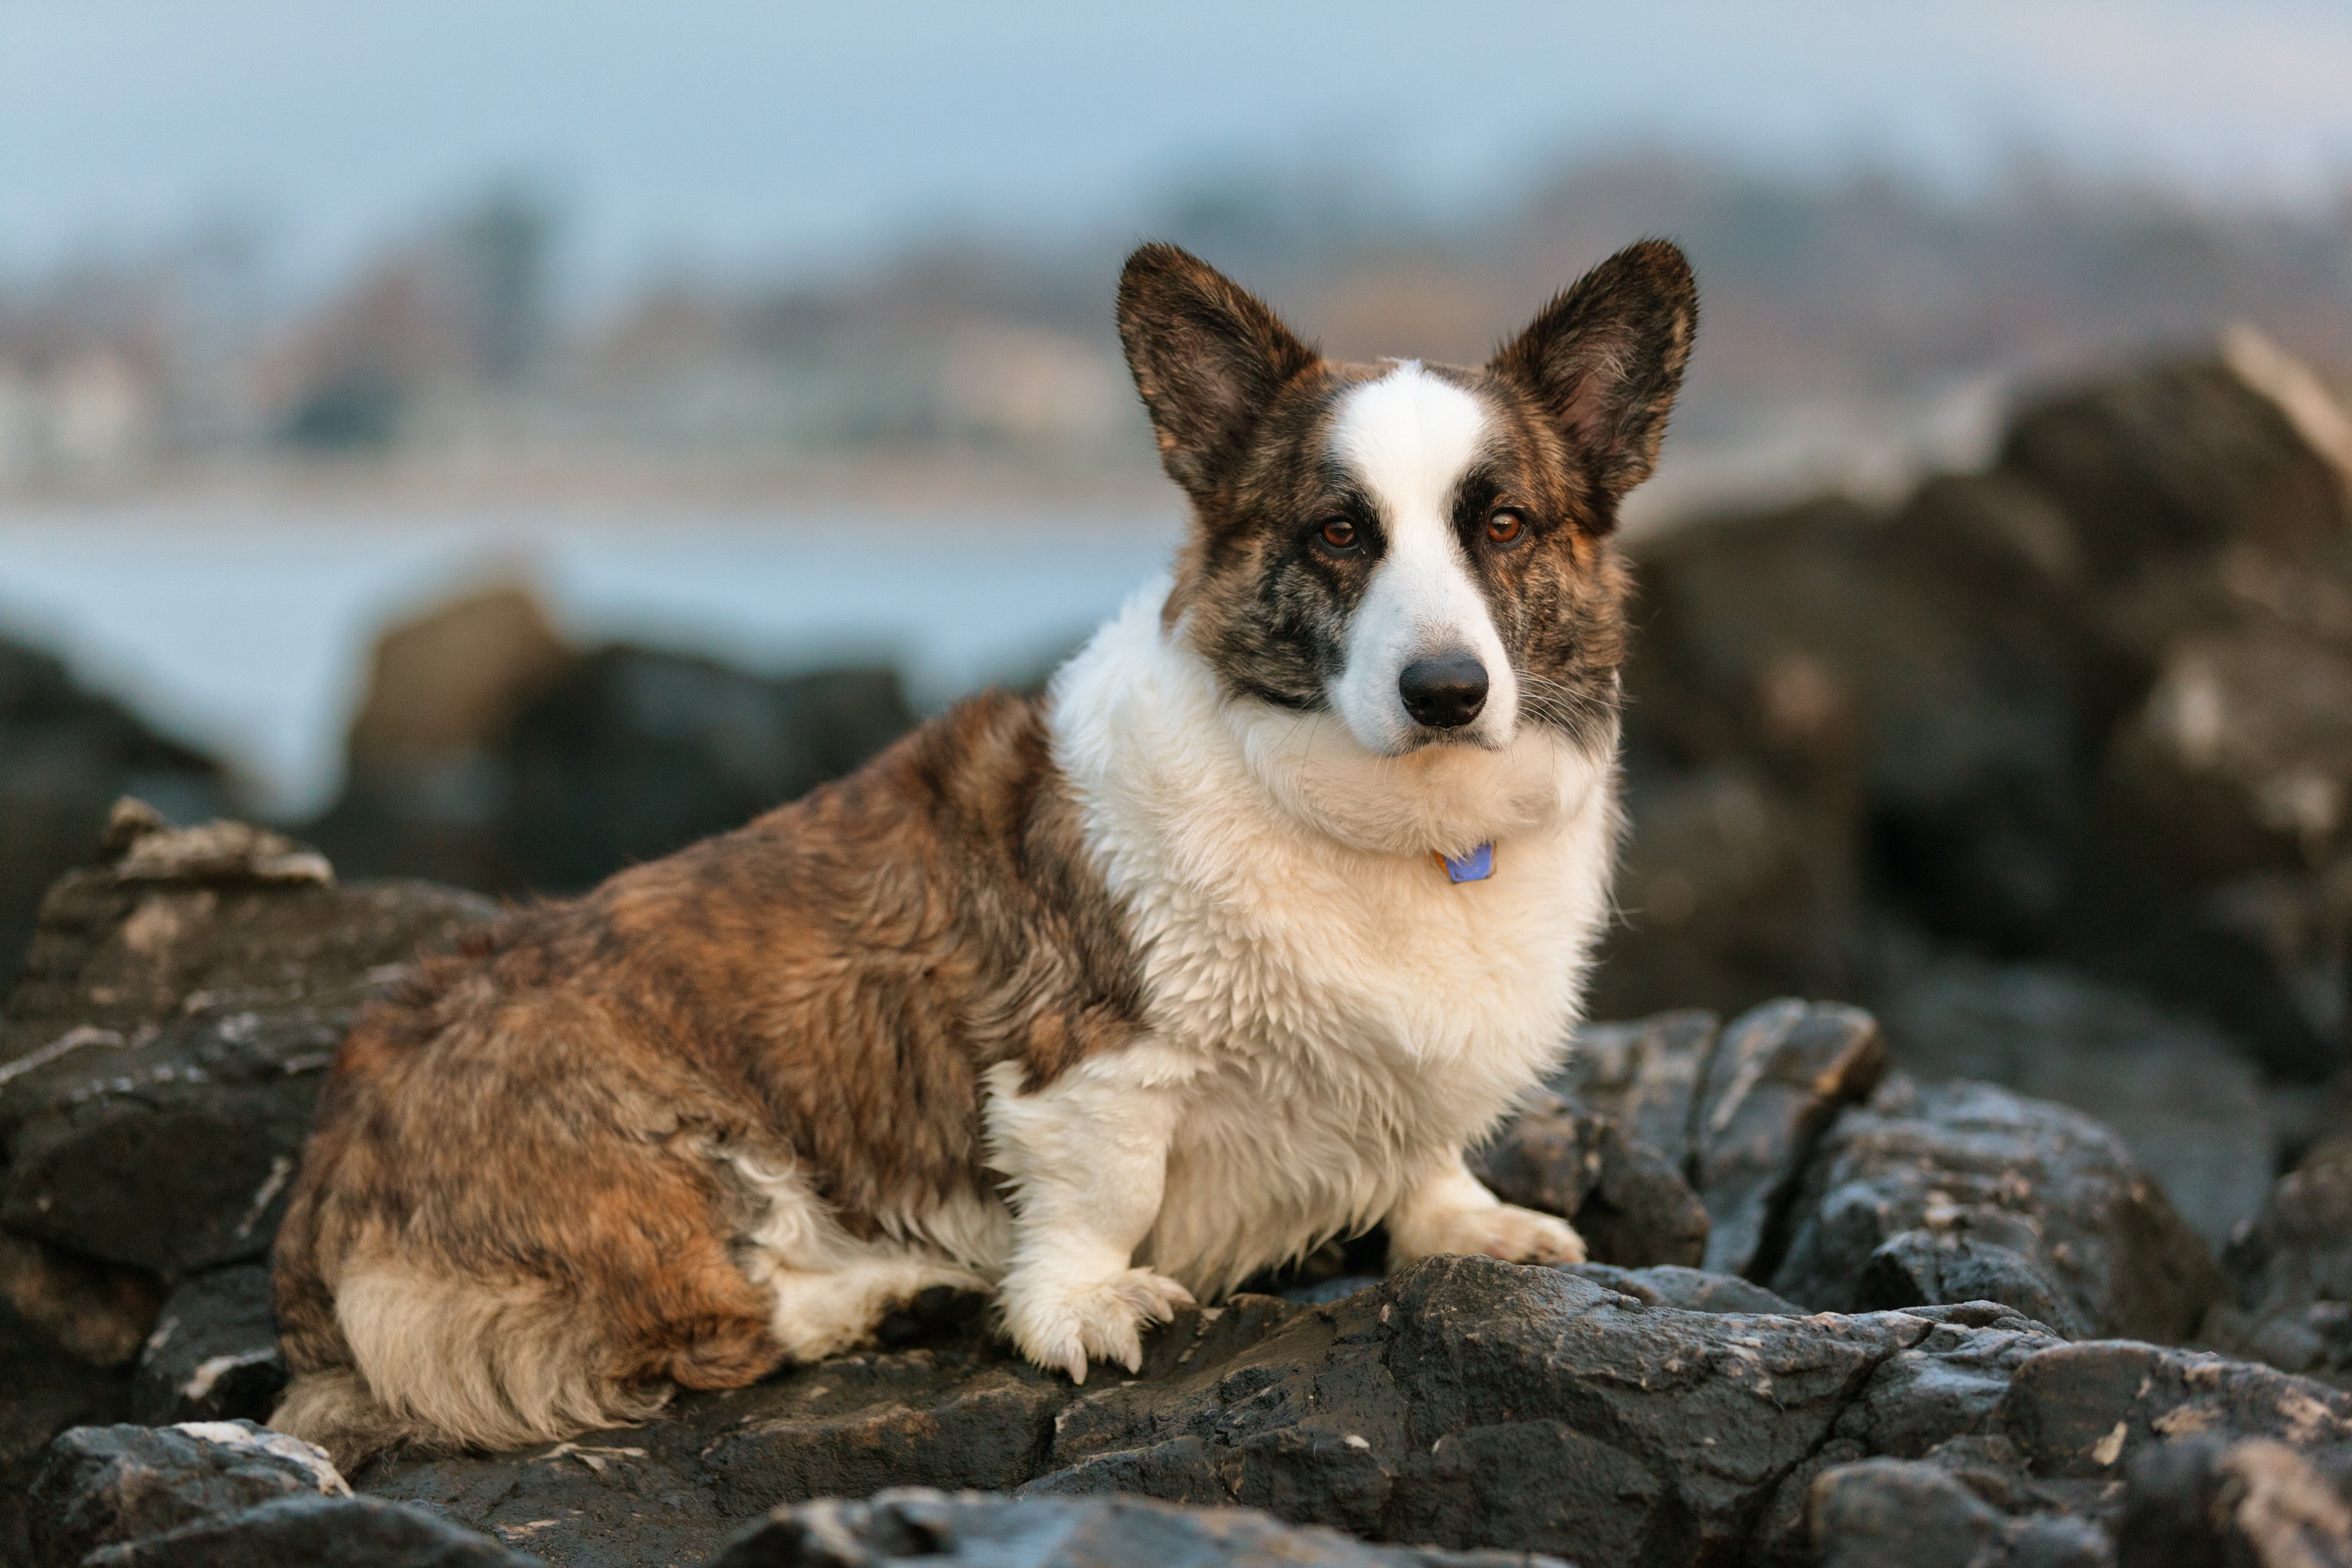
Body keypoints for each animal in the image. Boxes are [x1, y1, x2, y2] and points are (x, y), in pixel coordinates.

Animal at [270, 240, 1693, 1467]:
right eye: (1338, 533)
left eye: (1503, 526)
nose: (1446, 691)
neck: (1386, 823)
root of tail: (322, 1199)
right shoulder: (1088, 1060)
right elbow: (1100, 1194)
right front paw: (1083, 1309)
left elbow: (1424, 1153)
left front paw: (1467, 1226)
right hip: (674, 1159)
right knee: (705, 1322)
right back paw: (885, 1297)